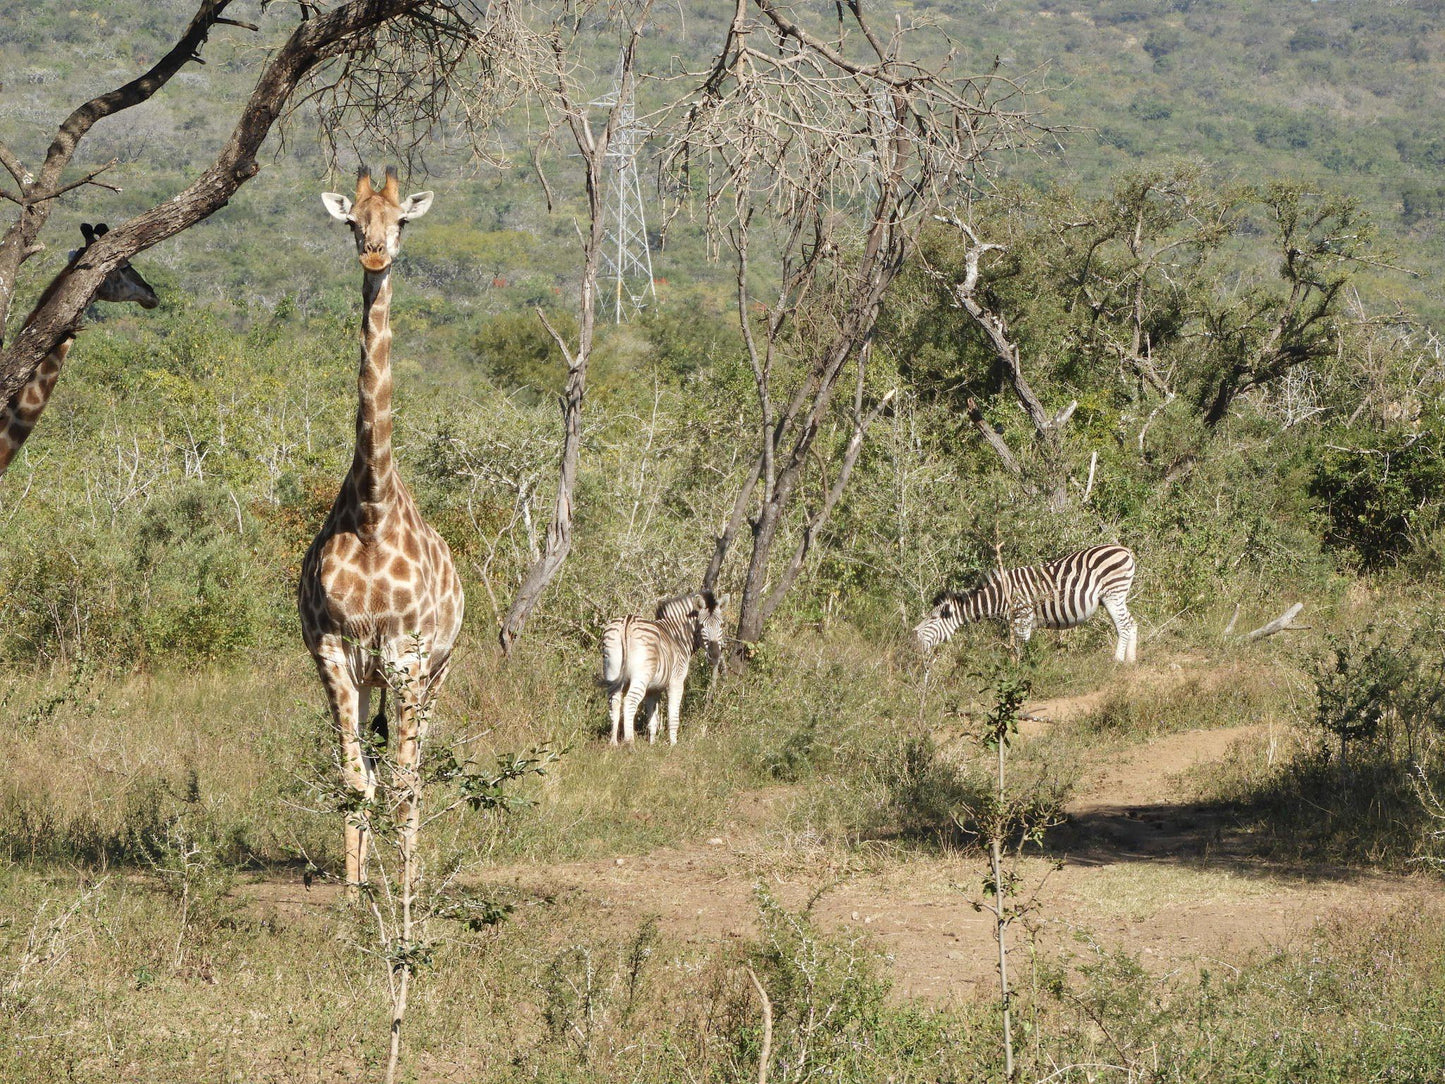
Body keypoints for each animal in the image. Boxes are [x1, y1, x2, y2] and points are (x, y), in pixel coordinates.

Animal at [601, 595, 728, 745]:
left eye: (721, 625)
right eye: (701, 625)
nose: (715, 655)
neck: (678, 637)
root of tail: (628, 621)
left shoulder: (653, 689)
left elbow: (653, 719)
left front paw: (652, 744)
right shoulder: (676, 681)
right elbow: (673, 716)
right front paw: (673, 744)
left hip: (612, 671)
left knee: (614, 702)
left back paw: (613, 743)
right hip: (640, 676)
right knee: (630, 701)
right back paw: (629, 742)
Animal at [913, 546, 1138, 667]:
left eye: (932, 619)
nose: (914, 637)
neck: (1000, 596)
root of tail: (1125, 550)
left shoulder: (1023, 615)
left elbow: (1020, 646)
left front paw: (1018, 671)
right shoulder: (1019, 621)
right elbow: (1018, 646)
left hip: (1112, 594)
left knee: (1123, 626)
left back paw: (1117, 661)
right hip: (1116, 596)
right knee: (1132, 623)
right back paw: (1131, 660)